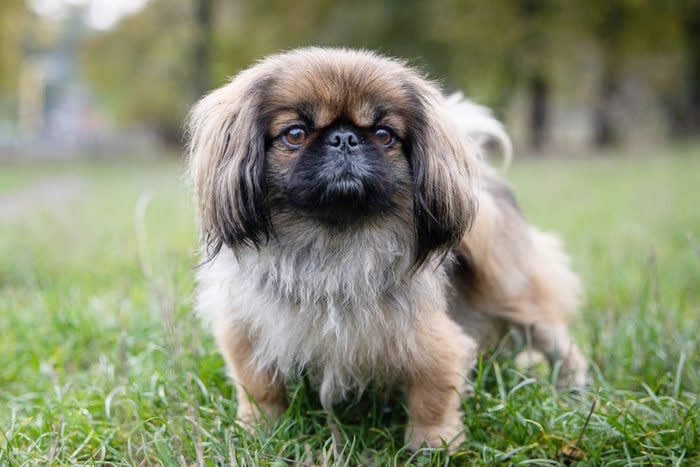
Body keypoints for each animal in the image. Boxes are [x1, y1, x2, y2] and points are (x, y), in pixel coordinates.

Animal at [185, 46, 584, 450]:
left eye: (383, 134)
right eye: (295, 133)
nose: (345, 138)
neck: (333, 243)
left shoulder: (432, 340)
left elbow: (432, 398)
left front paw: (432, 444)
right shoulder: (248, 334)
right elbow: (260, 390)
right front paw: (258, 432)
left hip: (520, 301)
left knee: (562, 346)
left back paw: (573, 390)